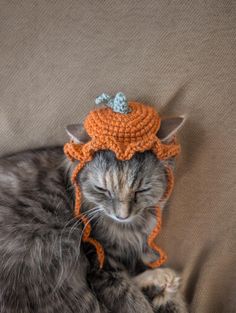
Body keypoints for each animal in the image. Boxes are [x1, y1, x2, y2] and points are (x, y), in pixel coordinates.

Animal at [0, 116, 188, 310]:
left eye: (141, 190)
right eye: (102, 189)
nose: (122, 215)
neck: (130, 229)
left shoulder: (143, 247)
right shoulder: (101, 264)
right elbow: (133, 301)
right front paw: (159, 291)